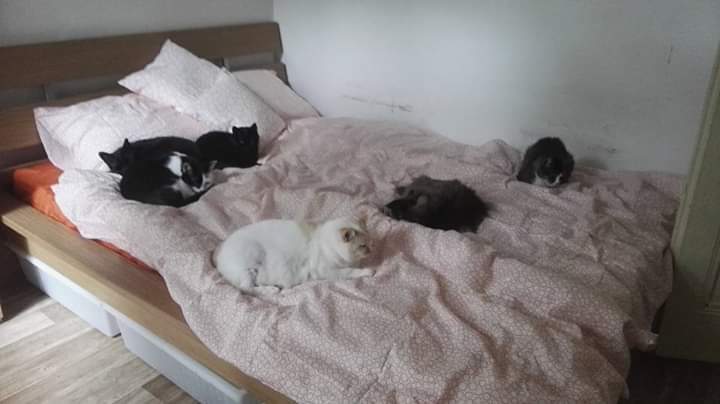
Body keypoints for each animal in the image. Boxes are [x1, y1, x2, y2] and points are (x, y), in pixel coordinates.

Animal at [214, 216, 373, 291]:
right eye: (363, 246)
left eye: (370, 242)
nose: (371, 250)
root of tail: (219, 253)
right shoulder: (325, 270)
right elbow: (349, 272)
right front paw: (367, 271)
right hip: (251, 262)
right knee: (248, 289)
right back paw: (273, 290)